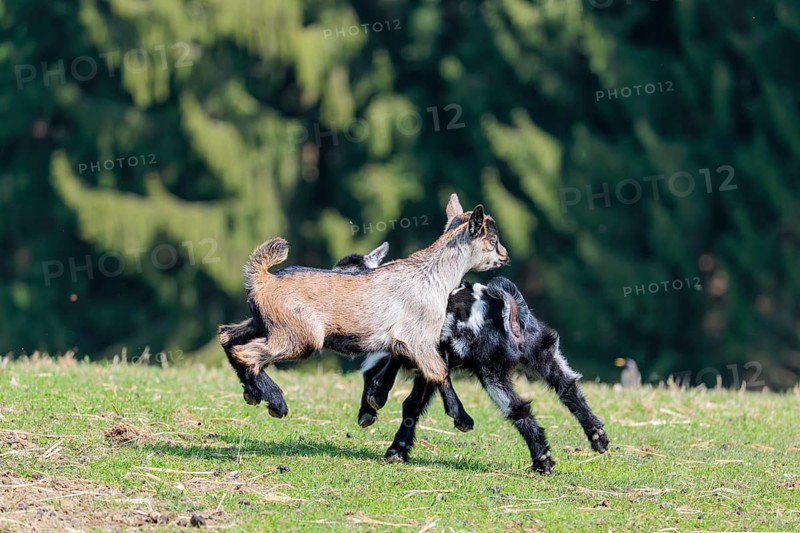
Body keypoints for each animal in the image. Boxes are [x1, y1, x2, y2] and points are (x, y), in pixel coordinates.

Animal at [219, 194, 509, 418]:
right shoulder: (419, 337)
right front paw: (463, 419)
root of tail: (263, 279)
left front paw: (373, 401)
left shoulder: (400, 339)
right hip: (299, 335)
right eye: (492, 240)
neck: (432, 275)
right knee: (246, 352)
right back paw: (276, 403)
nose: (505, 256)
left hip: (262, 323)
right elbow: (439, 371)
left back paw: (253, 393)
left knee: (228, 337)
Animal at [359, 277, 609, 474]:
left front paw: (377, 395)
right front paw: (397, 450)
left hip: (490, 370)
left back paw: (542, 460)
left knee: (517, 407)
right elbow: (414, 403)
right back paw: (598, 437)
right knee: (567, 387)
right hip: (542, 352)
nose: (364, 417)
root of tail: (512, 313)